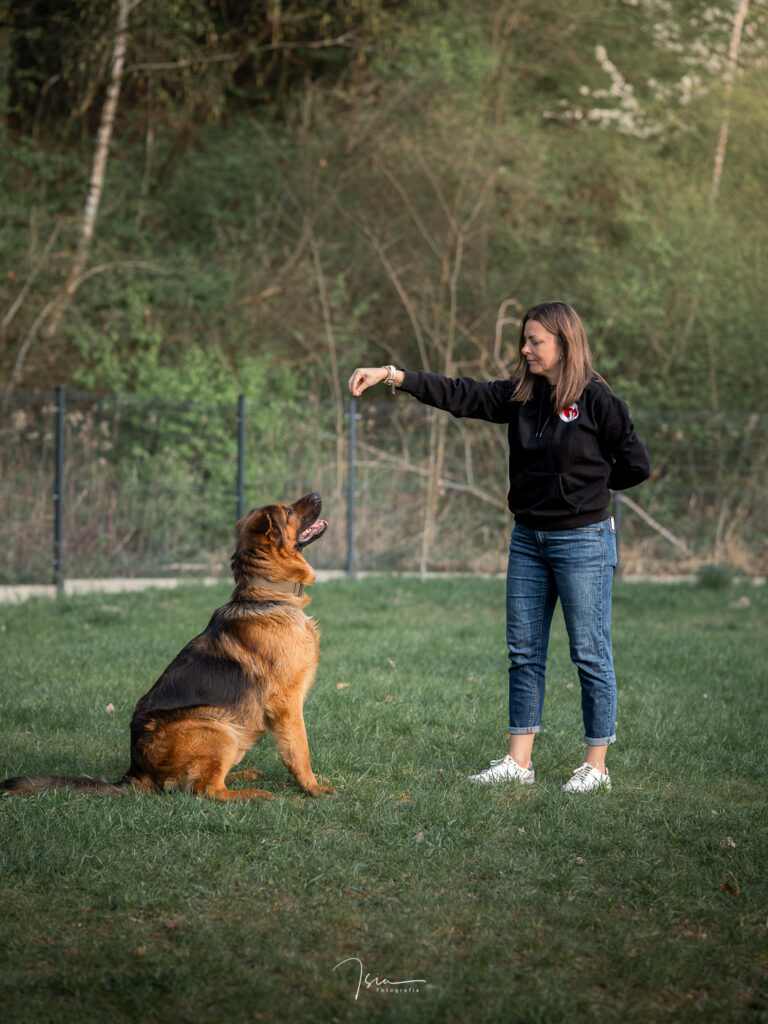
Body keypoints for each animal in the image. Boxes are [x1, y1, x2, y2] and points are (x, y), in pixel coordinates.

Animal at [0, 493, 335, 801]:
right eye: (288, 510)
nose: (317, 495)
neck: (268, 595)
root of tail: (137, 772)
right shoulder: (287, 704)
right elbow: (299, 750)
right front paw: (313, 788)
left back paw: (243, 775)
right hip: (215, 728)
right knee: (206, 789)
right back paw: (252, 794)